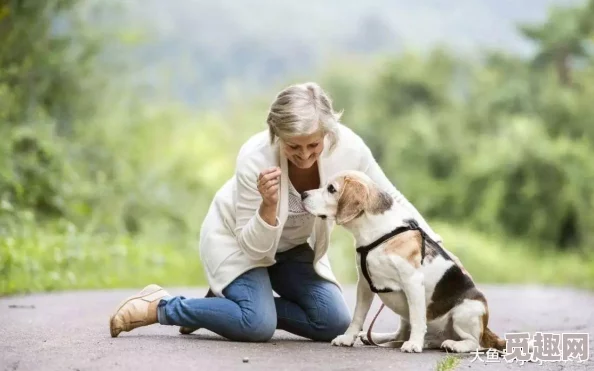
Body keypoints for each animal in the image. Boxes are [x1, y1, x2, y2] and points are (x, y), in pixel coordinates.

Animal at [300, 171, 504, 354]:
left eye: (331, 189)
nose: (303, 194)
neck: (378, 232)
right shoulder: (364, 284)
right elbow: (357, 316)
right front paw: (348, 338)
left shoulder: (412, 282)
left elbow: (418, 319)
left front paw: (414, 344)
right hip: (406, 317)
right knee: (400, 335)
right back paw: (378, 337)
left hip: (466, 311)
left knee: (474, 342)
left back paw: (452, 345)